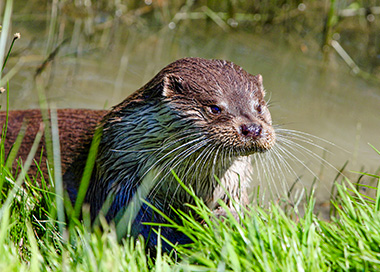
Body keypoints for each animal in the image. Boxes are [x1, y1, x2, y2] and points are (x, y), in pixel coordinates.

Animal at [0, 57, 274, 251]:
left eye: (259, 106)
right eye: (215, 108)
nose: (252, 128)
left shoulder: (233, 184)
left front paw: (227, 222)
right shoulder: (119, 181)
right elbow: (138, 225)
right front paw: (189, 237)